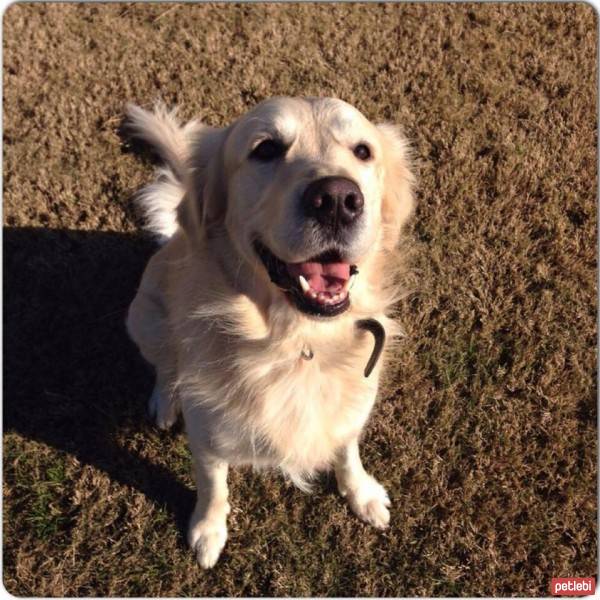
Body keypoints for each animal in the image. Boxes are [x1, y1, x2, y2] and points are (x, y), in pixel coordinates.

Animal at [122, 97, 412, 568]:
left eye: (363, 151)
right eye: (266, 149)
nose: (337, 199)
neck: (299, 343)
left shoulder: (351, 407)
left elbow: (347, 451)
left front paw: (362, 494)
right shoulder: (206, 433)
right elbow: (213, 486)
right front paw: (208, 531)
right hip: (143, 316)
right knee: (166, 364)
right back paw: (165, 402)